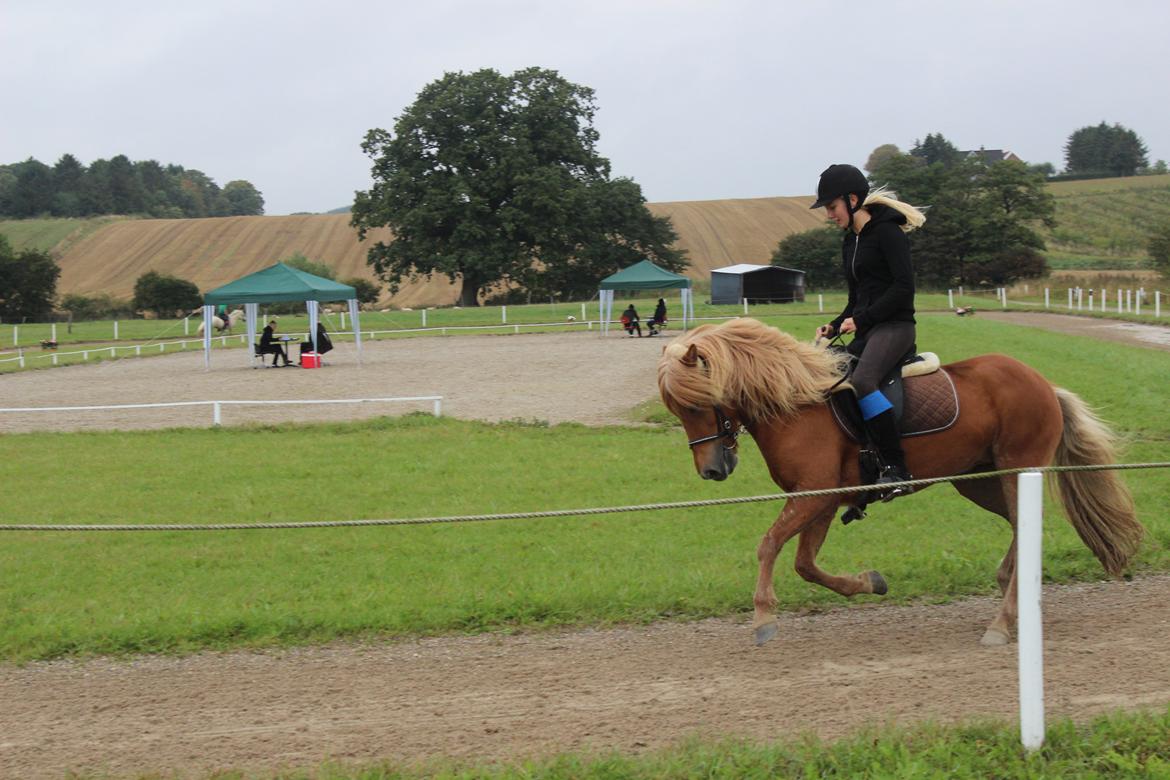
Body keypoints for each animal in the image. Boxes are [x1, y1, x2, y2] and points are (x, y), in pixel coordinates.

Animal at [659, 318, 1141, 645]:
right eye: (679, 410)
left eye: (697, 405)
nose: (711, 470)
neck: (798, 405)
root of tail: (1043, 383)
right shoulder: (821, 500)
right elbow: (806, 564)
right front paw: (871, 582)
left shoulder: (812, 497)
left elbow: (769, 545)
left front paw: (762, 619)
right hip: (977, 480)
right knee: (1022, 527)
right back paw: (1011, 591)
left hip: (1014, 470)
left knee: (1025, 527)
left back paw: (1001, 623)